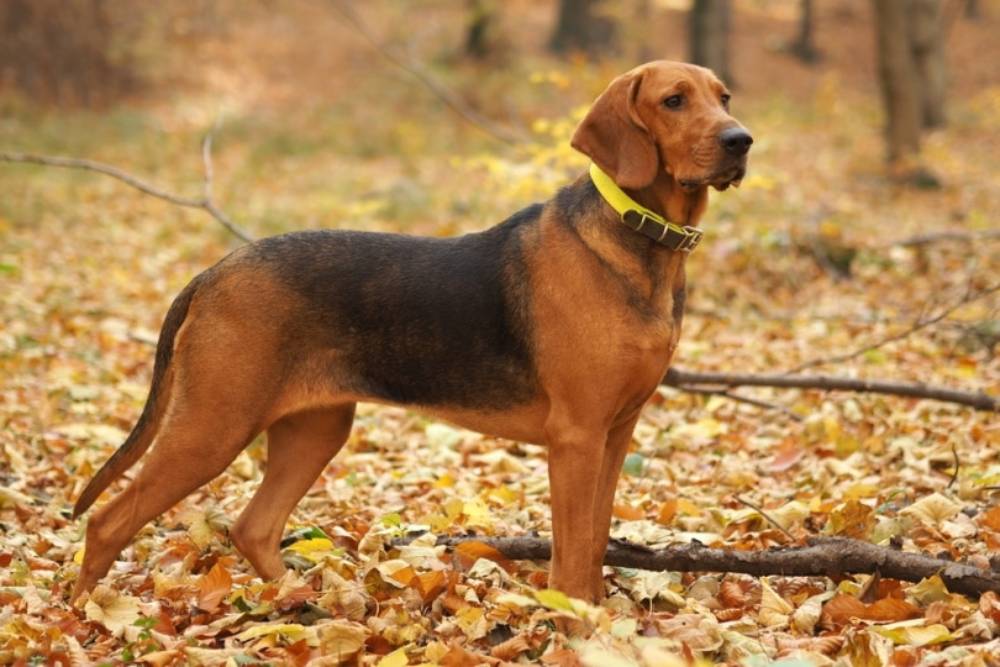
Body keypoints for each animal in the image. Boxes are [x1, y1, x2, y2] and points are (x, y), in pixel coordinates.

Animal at [72, 62, 752, 604]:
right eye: (673, 100)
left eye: (724, 96)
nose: (741, 140)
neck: (640, 242)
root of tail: (214, 271)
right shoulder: (576, 438)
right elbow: (570, 554)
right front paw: (575, 626)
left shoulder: (616, 433)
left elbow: (592, 544)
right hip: (212, 426)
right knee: (107, 522)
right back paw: (83, 615)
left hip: (314, 429)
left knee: (252, 528)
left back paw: (302, 603)